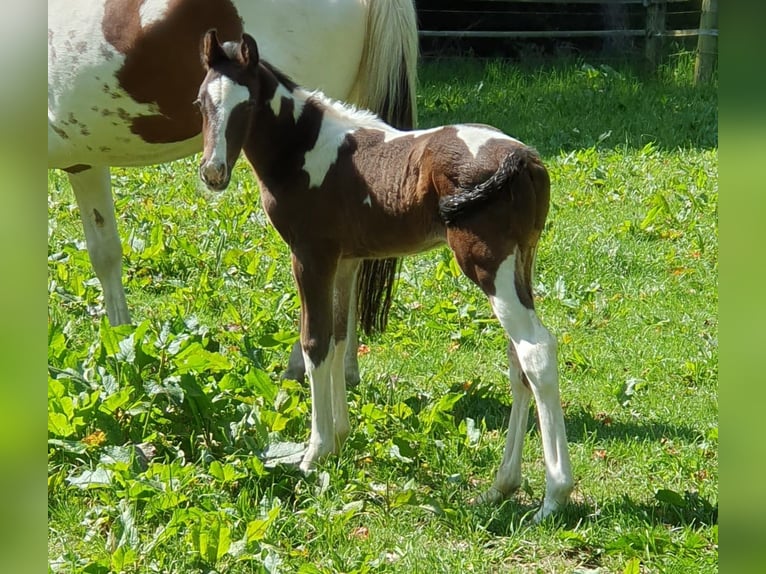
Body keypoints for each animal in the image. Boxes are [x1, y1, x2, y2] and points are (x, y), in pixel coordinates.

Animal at [198, 32, 576, 528]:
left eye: (246, 105)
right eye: (202, 102)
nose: (213, 172)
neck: (305, 150)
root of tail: (523, 157)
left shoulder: (311, 256)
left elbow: (315, 343)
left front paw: (314, 453)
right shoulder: (344, 261)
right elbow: (339, 338)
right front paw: (339, 438)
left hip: (487, 263)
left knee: (536, 351)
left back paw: (554, 497)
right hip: (520, 263)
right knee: (519, 364)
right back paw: (501, 486)